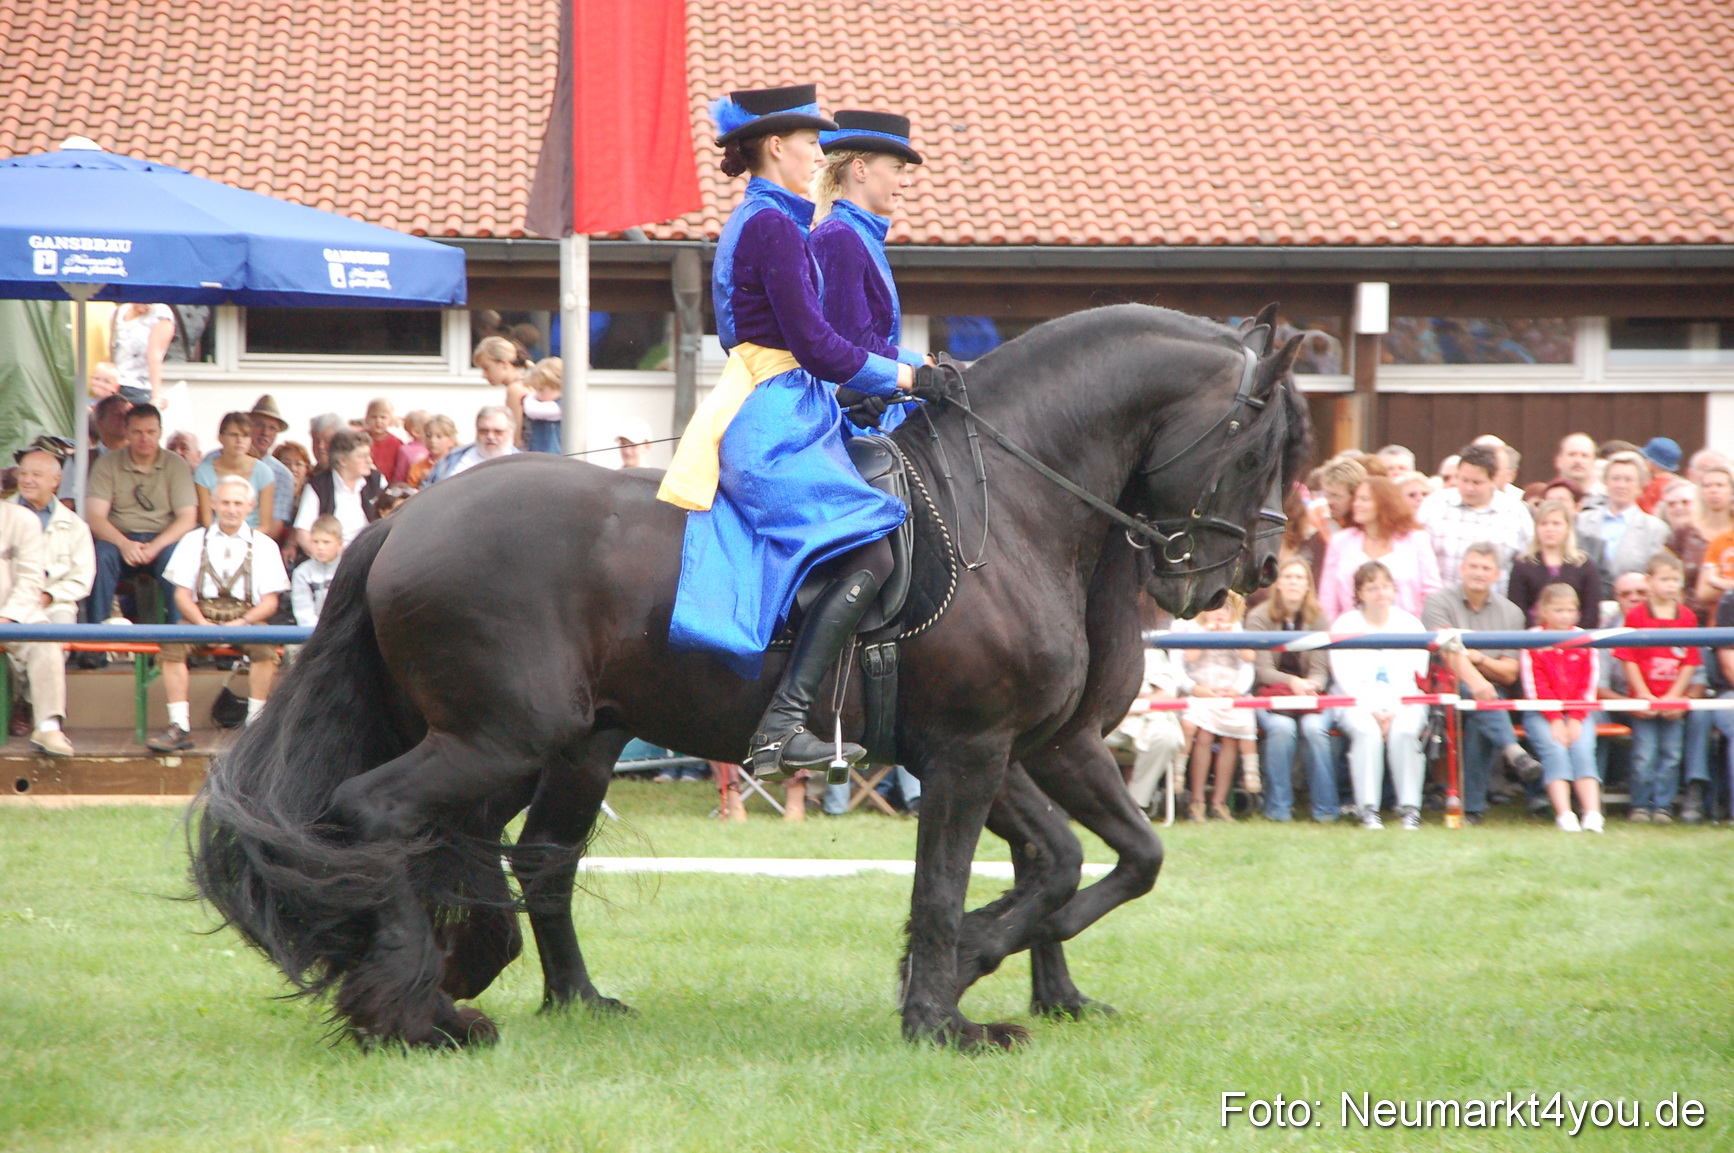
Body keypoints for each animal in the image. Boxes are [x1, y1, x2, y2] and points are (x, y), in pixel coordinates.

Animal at [190, 303, 1310, 1050]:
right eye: (1260, 447)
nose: (1247, 571)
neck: (1018, 499)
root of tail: (405, 518)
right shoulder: (972, 751)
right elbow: (963, 881)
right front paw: (942, 1008)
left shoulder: (1019, 750)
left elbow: (1089, 861)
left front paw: (1001, 977)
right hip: (497, 738)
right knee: (378, 817)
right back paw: (417, 1012)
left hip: (554, 744)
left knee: (522, 858)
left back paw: (530, 994)